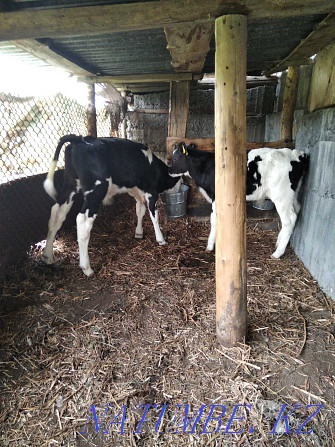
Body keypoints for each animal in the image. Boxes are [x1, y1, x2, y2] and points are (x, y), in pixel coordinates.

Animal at [44, 135, 182, 276]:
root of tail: (79, 139)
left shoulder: (137, 192)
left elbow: (140, 211)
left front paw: (139, 232)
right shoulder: (151, 192)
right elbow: (154, 215)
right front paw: (160, 239)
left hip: (70, 185)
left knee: (56, 214)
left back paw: (48, 256)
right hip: (96, 190)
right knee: (83, 220)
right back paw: (86, 268)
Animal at [171, 144, 310, 260]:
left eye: (175, 158)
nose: (169, 171)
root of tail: (297, 154)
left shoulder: (216, 197)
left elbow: (214, 219)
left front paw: (210, 246)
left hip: (281, 195)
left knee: (289, 219)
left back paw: (278, 253)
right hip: (292, 195)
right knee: (296, 210)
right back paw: (279, 243)